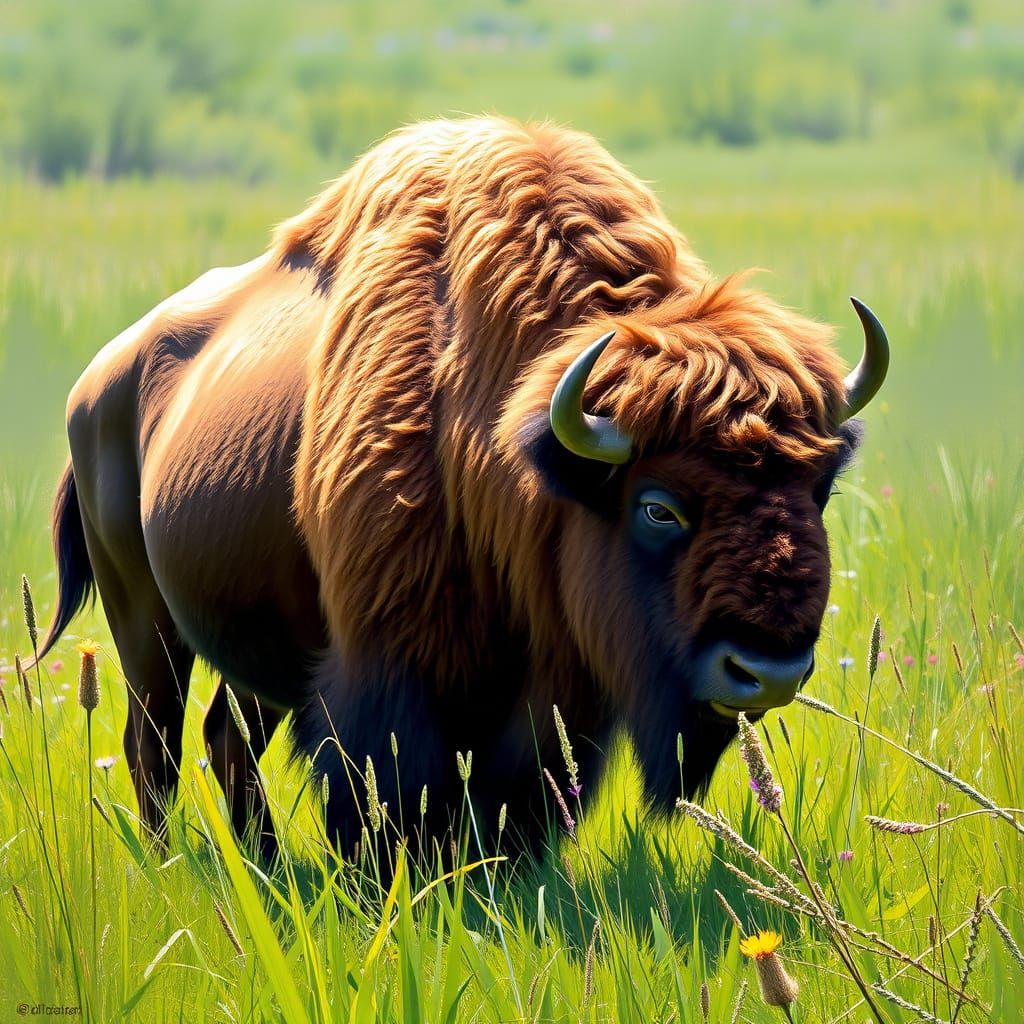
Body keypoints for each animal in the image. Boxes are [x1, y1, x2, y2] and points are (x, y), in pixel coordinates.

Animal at [29, 117, 887, 857]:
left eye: (820, 492)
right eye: (657, 507)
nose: (768, 671)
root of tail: (100, 380)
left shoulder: (550, 697)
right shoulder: (387, 673)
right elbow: (389, 791)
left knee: (224, 737)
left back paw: (263, 864)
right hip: (142, 621)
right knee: (155, 744)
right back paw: (173, 862)